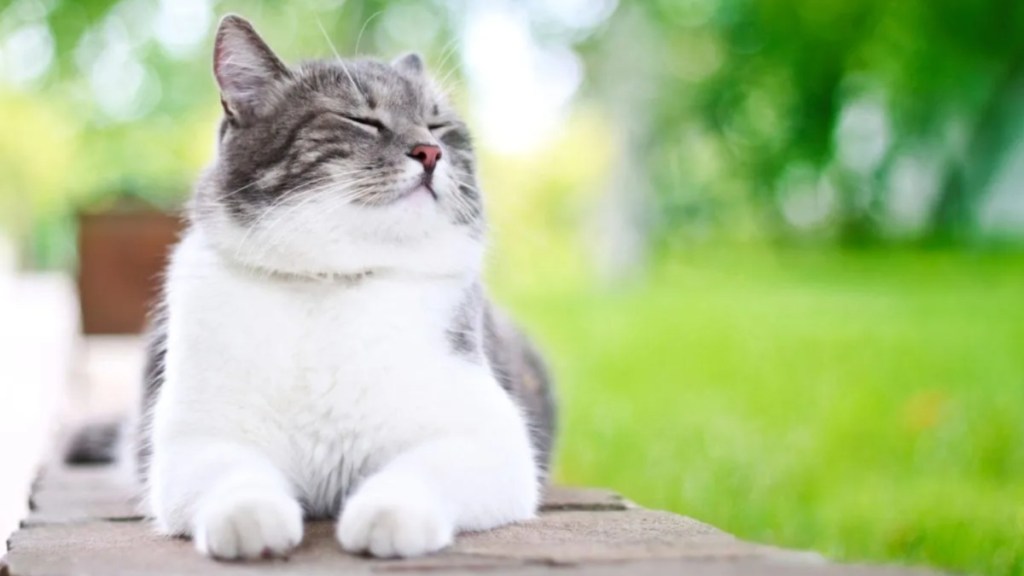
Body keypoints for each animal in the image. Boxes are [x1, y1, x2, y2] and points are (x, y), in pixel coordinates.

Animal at [68, 13, 557, 561]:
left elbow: (421, 471)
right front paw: (249, 517)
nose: (430, 151)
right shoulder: (195, 442)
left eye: (440, 126)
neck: (332, 281)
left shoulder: (492, 442)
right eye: (361, 120)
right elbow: (234, 476)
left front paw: (388, 515)